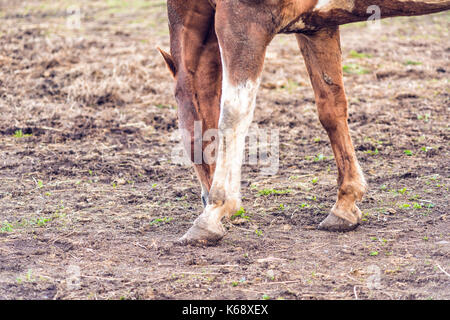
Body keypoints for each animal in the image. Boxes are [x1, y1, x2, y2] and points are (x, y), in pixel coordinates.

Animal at [158, 0, 450, 245]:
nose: (205, 199)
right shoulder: (319, 27)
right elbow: (331, 109)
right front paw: (345, 204)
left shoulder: (244, 22)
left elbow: (233, 115)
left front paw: (212, 213)